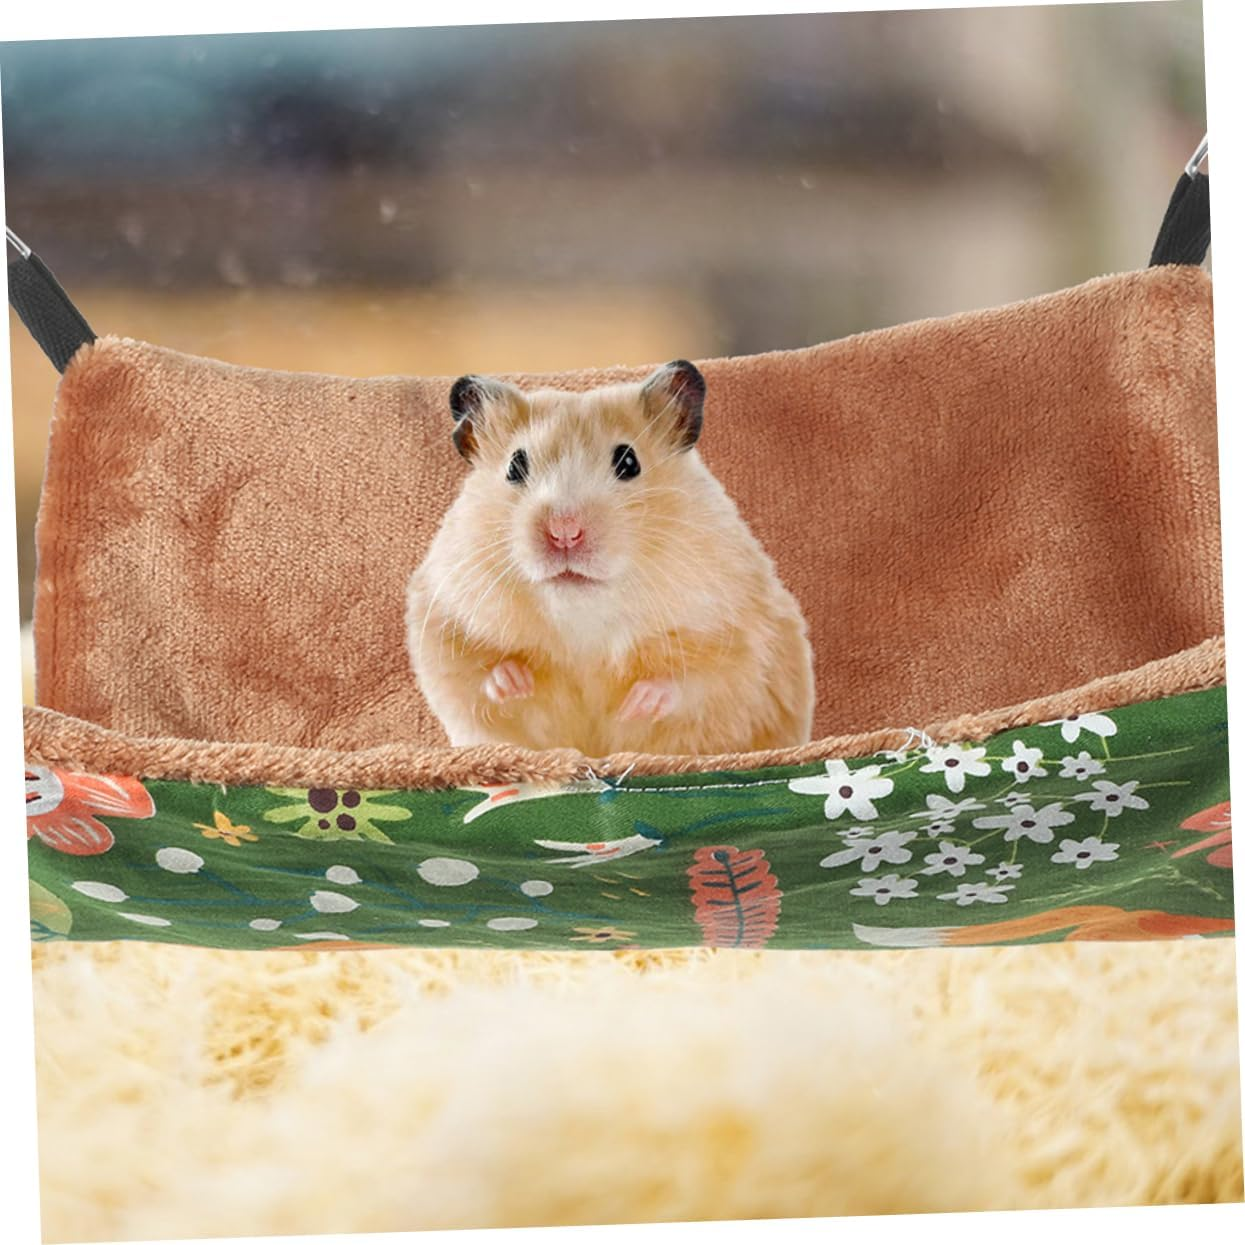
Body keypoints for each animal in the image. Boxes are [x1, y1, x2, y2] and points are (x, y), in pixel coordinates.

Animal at [406, 359, 815, 757]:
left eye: (629, 462)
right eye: (514, 466)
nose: (564, 532)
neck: (583, 616)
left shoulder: (740, 634)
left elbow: (699, 681)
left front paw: (637, 704)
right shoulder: (440, 618)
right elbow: (476, 672)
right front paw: (515, 681)